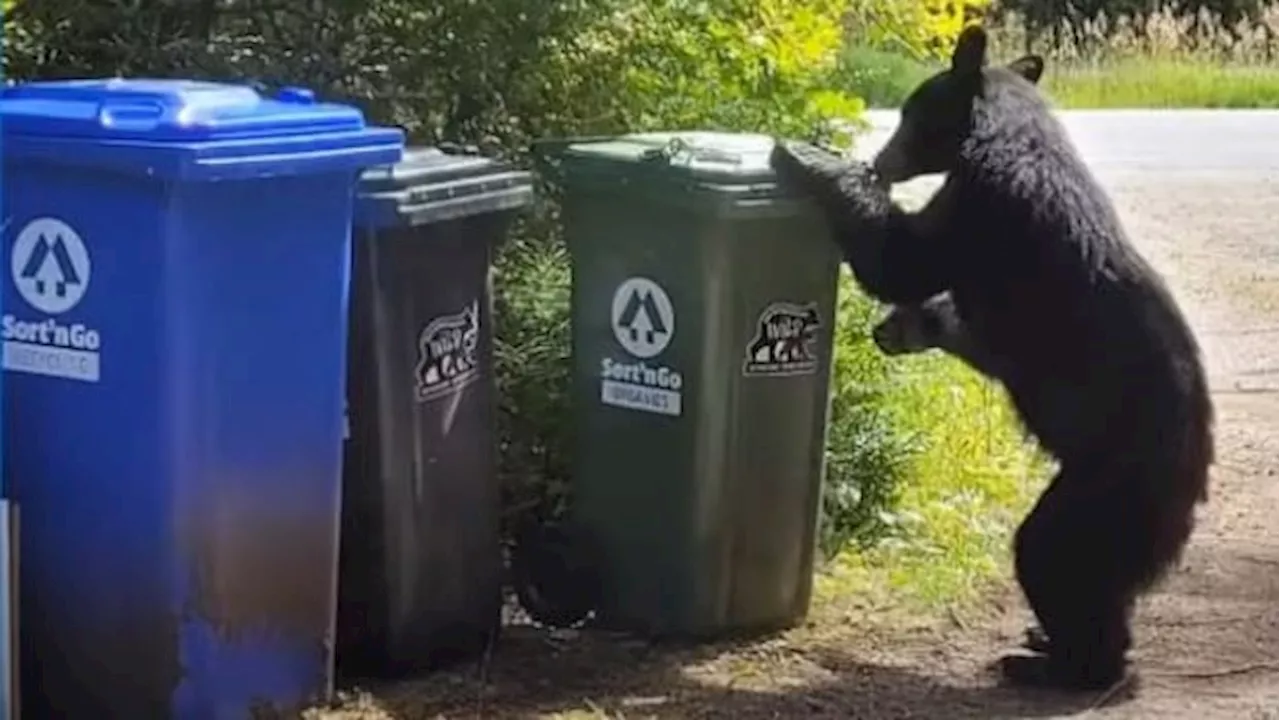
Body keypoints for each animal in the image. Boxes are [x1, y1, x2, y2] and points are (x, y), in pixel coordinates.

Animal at [768, 25, 1208, 691]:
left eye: (909, 113)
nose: (882, 160)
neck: (995, 139)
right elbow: (958, 320)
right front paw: (903, 325)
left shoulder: (987, 213)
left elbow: (904, 258)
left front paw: (809, 157)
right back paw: (1046, 642)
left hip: (1115, 478)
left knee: (1055, 554)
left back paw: (1063, 664)